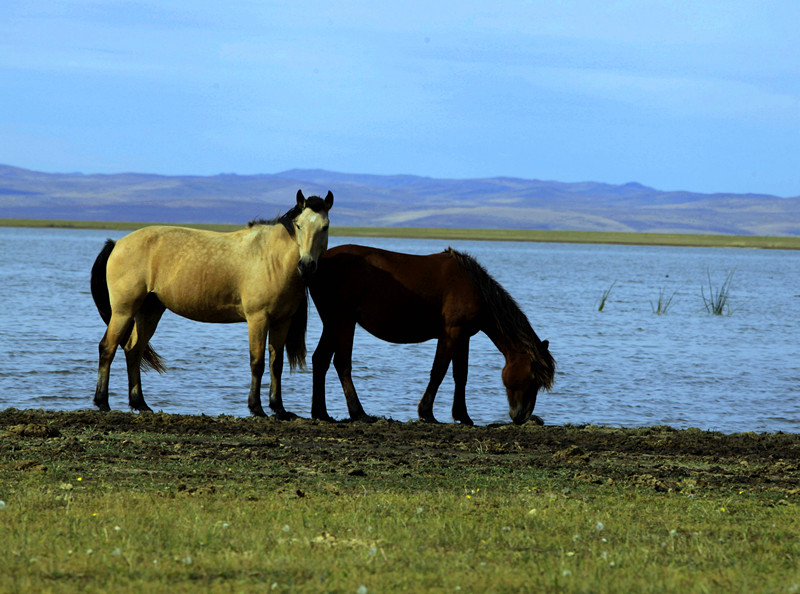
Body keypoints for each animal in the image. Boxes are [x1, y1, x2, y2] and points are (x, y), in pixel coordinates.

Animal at [90, 189, 333, 418]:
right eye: (299, 226)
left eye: (325, 227)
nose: (307, 265)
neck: (271, 258)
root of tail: (117, 244)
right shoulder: (258, 319)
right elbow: (257, 362)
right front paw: (256, 408)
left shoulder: (282, 321)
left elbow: (277, 363)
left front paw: (279, 409)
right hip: (123, 311)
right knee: (107, 348)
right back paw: (103, 403)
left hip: (149, 311)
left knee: (134, 350)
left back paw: (140, 404)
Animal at [308, 244, 555, 425]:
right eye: (533, 377)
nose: (521, 416)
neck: (474, 287)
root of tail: (320, 262)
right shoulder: (451, 334)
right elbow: (439, 372)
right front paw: (426, 413)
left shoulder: (463, 336)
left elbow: (461, 375)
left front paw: (463, 416)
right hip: (343, 322)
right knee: (342, 364)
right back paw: (358, 413)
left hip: (332, 324)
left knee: (320, 360)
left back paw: (321, 413)